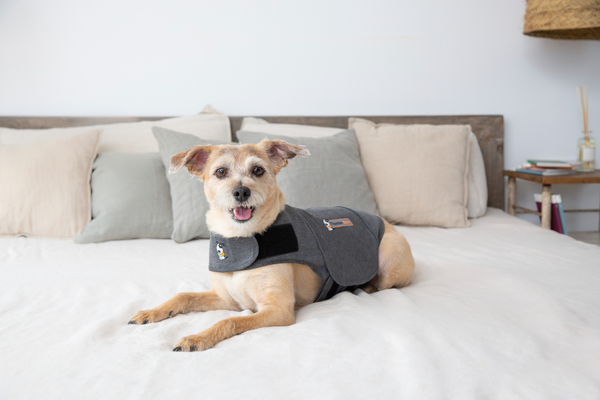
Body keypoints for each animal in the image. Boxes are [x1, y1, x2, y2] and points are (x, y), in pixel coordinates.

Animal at [129, 139, 414, 352]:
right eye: (221, 172)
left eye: (258, 170)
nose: (241, 192)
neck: (241, 239)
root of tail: (385, 223)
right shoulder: (227, 298)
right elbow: (184, 295)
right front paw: (152, 312)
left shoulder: (277, 310)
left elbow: (230, 322)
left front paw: (197, 337)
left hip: (390, 259)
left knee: (383, 282)